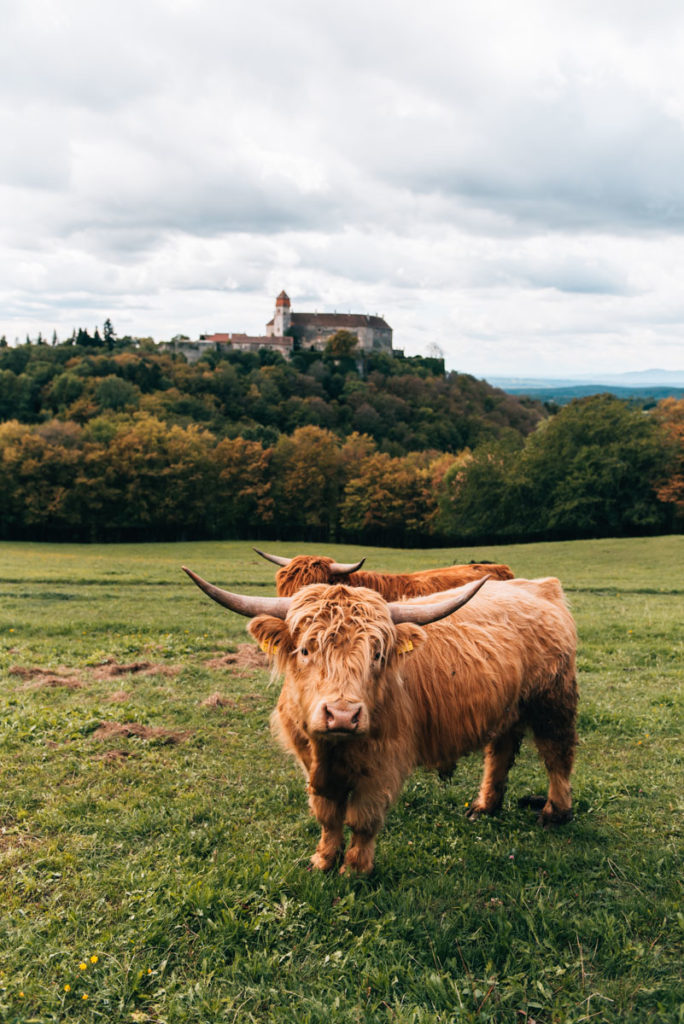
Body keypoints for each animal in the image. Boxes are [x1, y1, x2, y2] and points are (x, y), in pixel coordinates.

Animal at [183, 573, 577, 876]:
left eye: (377, 653)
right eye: (306, 650)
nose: (342, 715)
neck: (332, 751)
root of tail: (538, 586)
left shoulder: (384, 764)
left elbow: (363, 819)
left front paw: (356, 869)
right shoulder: (309, 760)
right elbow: (327, 815)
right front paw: (323, 860)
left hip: (553, 701)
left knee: (557, 754)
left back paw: (554, 812)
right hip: (508, 708)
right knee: (501, 751)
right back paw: (484, 806)